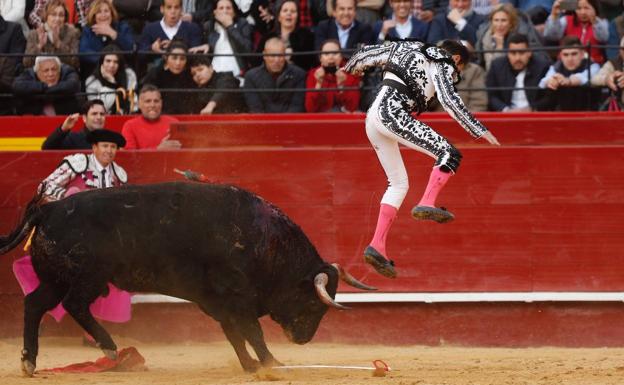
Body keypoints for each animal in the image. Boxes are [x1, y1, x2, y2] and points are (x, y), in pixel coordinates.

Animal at [0, 181, 376, 376]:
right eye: (313, 304)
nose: (303, 339)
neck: (267, 243)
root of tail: (47, 209)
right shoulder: (236, 296)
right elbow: (251, 332)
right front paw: (271, 363)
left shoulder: (219, 303)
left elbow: (235, 335)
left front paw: (250, 365)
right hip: (88, 277)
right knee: (74, 305)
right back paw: (109, 349)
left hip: (55, 278)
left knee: (35, 304)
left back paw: (29, 361)